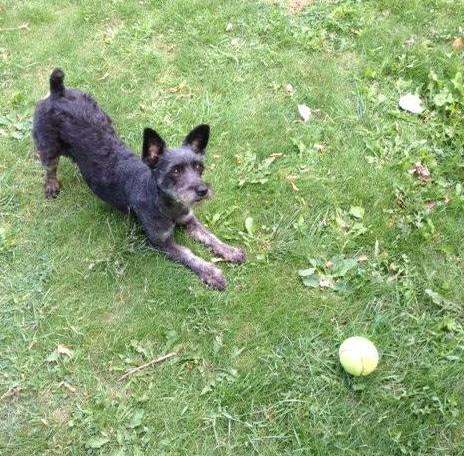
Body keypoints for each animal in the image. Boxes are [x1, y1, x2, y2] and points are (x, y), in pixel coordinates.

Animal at [32, 69, 245, 290]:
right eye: (175, 171)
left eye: (198, 167)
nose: (203, 190)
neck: (165, 203)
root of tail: (58, 91)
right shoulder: (161, 242)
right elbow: (189, 255)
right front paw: (212, 272)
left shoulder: (189, 219)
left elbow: (209, 235)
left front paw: (229, 250)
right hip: (47, 146)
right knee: (50, 167)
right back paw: (51, 185)